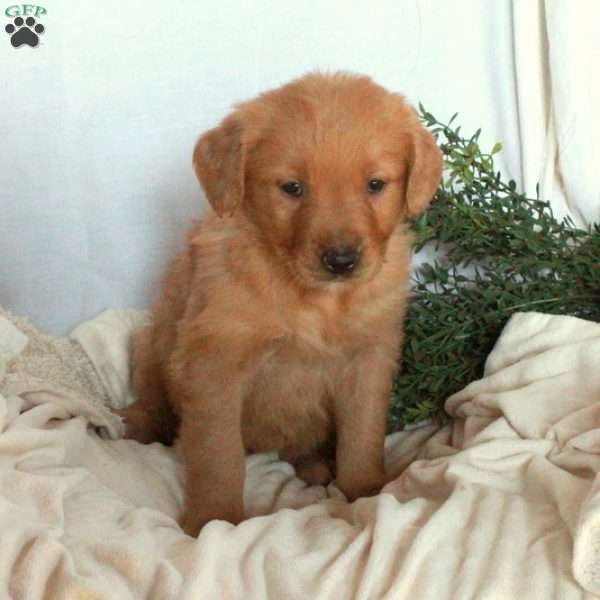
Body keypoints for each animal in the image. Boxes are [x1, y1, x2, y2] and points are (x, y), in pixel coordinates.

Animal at [119, 70, 442, 536]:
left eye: (375, 185)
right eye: (292, 188)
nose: (341, 260)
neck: (314, 300)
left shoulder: (369, 360)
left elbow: (362, 436)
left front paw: (364, 492)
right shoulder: (214, 364)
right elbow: (218, 456)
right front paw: (214, 520)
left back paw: (315, 466)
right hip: (152, 341)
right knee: (152, 400)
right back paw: (136, 425)